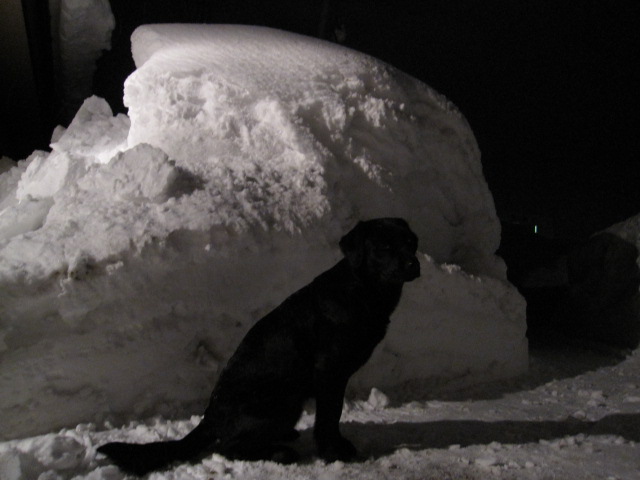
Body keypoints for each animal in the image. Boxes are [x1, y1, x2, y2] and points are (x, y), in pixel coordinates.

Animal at [97, 218, 420, 476]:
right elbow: (329, 418)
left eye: (410, 242)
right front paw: (333, 452)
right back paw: (279, 451)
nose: (412, 265)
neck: (363, 290)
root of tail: (210, 417)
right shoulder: (329, 374)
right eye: (384, 247)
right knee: (228, 446)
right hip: (283, 401)